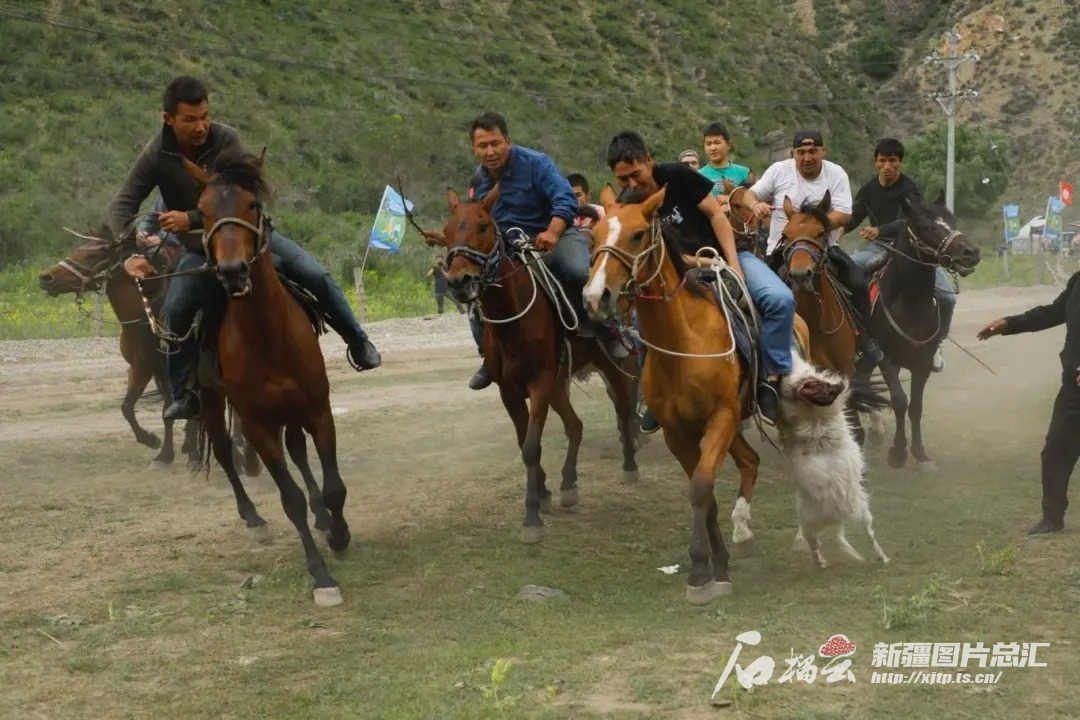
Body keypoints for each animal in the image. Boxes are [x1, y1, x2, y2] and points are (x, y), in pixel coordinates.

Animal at [37, 229, 259, 474]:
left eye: (91, 255)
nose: (46, 278)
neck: (144, 317)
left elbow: (169, 411)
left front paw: (168, 453)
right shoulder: (142, 368)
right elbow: (128, 407)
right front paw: (154, 443)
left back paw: (244, 455)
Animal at [182, 148, 352, 607]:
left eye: (252, 204)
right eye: (201, 211)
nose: (232, 271)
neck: (266, 335)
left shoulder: (318, 409)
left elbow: (333, 486)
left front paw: (339, 533)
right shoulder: (257, 425)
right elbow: (289, 499)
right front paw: (321, 576)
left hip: (291, 413)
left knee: (297, 451)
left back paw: (324, 517)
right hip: (211, 399)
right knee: (225, 452)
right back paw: (253, 519)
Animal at [422, 185, 641, 545]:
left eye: (483, 225)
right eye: (447, 228)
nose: (458, 280)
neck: (513, 319)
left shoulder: (539, 383)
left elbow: (531, 447)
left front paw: (532, 517)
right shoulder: (510, 390)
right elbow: (524, 441)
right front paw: (544, 494)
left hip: (611, 368)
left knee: (624, 410)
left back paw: (630, 465)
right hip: (558, 385)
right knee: (575, 425)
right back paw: (568, 484)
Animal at [584, 183, 811, 605]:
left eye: (637, 234)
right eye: (592, 236)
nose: (595, 297)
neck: (685, 342)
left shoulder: (720, 417)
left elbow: (702, 486)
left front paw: (700, 570)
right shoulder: (679, 431)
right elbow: (704, 493)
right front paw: (717, 565)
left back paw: (805, 537)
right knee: (751, 461)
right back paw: (743, 533)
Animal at [855, 191, 981, 472]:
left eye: (952, 221)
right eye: (928, 227)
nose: (970, 252)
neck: (908, 303)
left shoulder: (922, 363)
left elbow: (916, 406)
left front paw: (920, 454)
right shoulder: (887, 359)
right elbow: (900, 401)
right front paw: (898, 453)